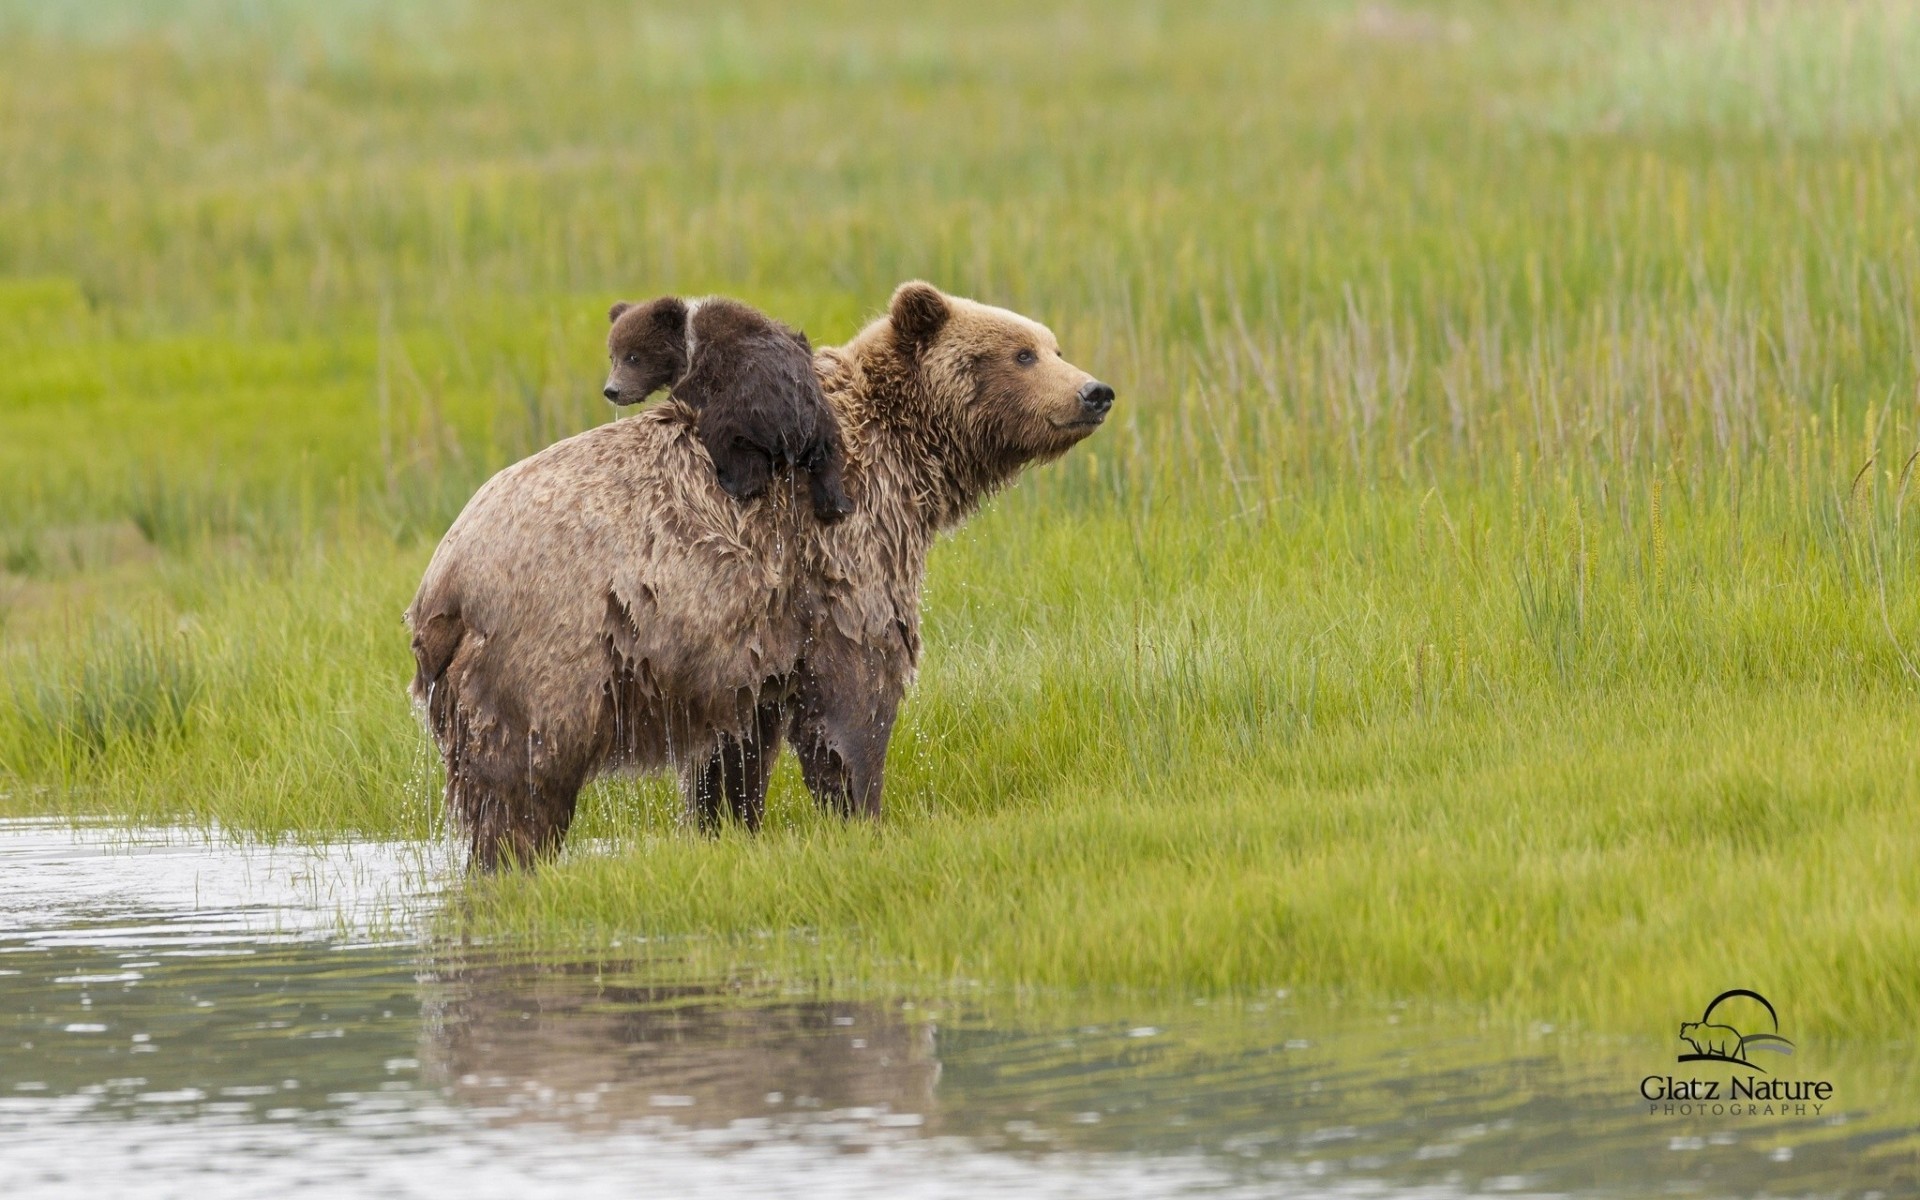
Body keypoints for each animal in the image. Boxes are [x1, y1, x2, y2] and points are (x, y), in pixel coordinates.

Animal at [602, 295, 854, 524]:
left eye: (633, 356)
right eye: (612, 356)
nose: (611, 390)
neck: (686, 344)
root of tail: (795, 433)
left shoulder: (714, 364)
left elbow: (689, 393)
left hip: (747, 410)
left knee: (726, 439)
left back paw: (731, 483)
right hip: (823, 420)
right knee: (828, 463)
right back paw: (835, 507)